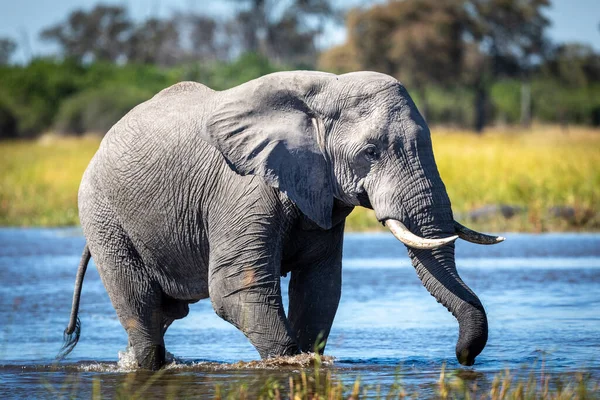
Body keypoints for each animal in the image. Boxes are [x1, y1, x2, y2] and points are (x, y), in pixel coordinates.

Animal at [59, 70, 502, 370]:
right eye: (371, 152)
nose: (464, 358)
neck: (325, 90)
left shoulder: (322, 194)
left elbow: (320, 286)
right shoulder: (242, 189)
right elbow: (237, 288)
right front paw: (290, 363)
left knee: (164, 317)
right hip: (102, 215)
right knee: (144, 313)